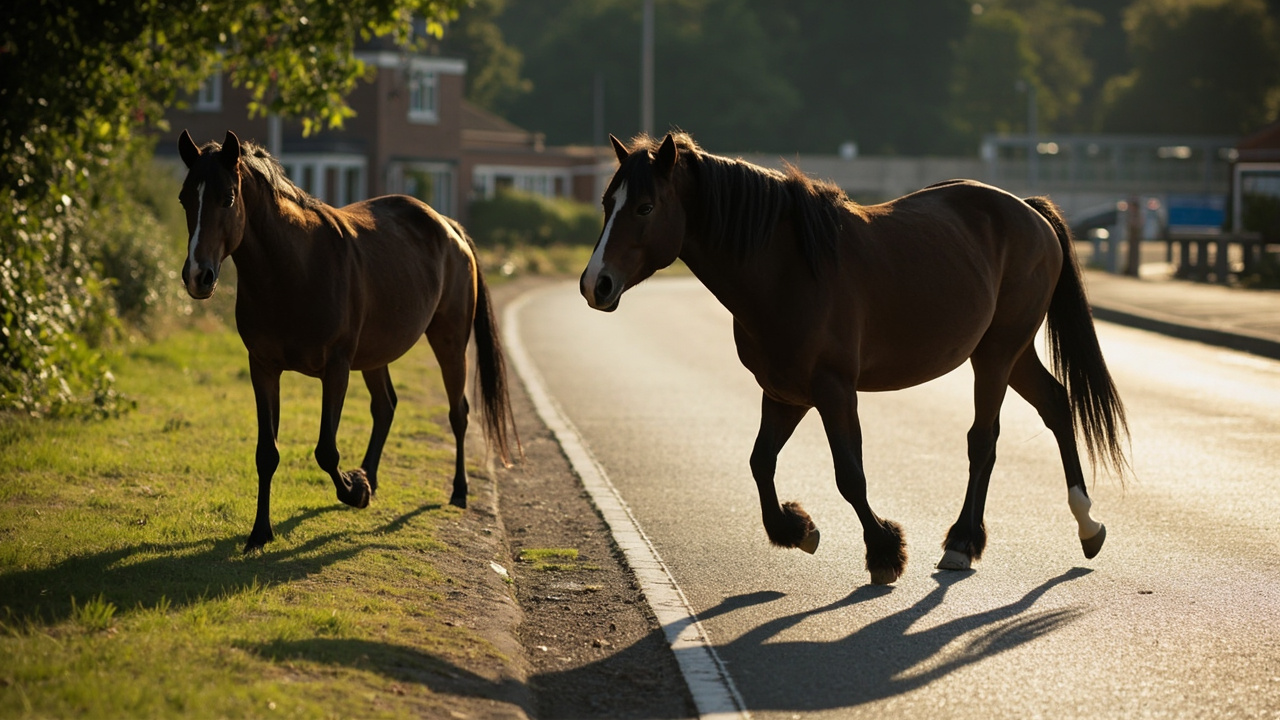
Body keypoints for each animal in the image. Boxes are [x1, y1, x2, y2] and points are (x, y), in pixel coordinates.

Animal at [177, 130, 518, 552]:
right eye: (185, 198)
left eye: (227, 197)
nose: (197, 276)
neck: (295, 269)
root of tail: (449, 226)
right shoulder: (263, 367)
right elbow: (266, 453)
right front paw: (260, 532)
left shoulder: (336, 369)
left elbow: (326, 450)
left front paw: (354, 491)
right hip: (375, 355)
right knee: (385, 406)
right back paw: (370, 475)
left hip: (450, 342)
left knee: (458, 412)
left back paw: (457, 491)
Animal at [579, 132, 1128, 585]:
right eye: (607, 203)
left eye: (645, 207)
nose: (595, 284)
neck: (786, 269)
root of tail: (1029, 212)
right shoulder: (785, 393)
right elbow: (760, 462)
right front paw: (796, 527)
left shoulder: (834, 390)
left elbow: (850, 475)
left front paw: (884, 551)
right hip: (1009, 354)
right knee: (1055, 404)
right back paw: (1087, 525)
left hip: (996, 354)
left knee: (984, 441)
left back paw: (962, 541)